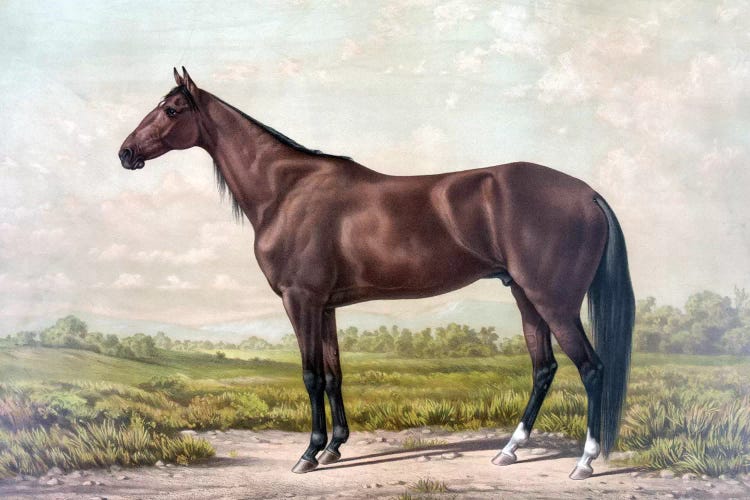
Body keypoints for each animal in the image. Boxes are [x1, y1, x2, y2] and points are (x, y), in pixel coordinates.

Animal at [119, 68, 635, 480]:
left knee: (591, 368)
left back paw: (584, 462)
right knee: (544, 368)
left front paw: (308, 454)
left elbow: (310, 375)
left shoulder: (300, 300)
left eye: (170, 109)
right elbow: (333, 375)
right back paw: (509, 450)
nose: (125, 153)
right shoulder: (324, 306)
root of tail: (587, 194)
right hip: (526, 297)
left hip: (554, 302)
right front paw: (334, 447)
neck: (286, 191)